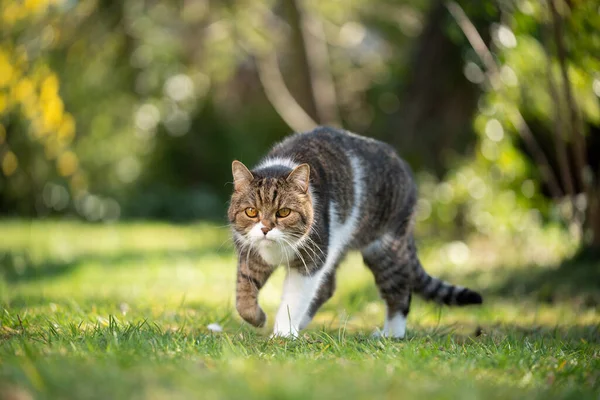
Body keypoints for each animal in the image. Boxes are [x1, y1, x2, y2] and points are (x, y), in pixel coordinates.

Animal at [226, 127, 482, 338]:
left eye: (283, 212)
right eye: (251, 212)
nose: (265, 228)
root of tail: (401, 162)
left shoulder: (311, 260)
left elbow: (294, 298)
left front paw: (284, 333)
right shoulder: (250, 256)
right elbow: (243, 295)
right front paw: (259, 319)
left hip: (385, 250)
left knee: (400, 291)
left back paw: (392, 334)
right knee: (327, 287)